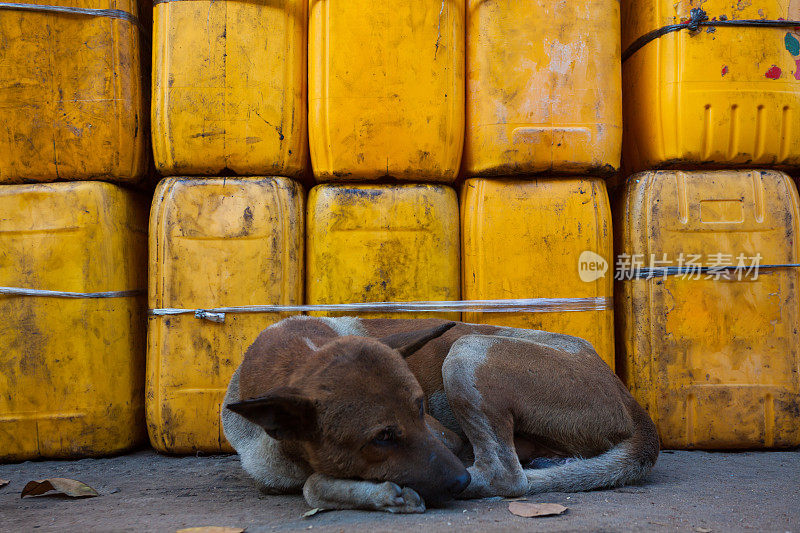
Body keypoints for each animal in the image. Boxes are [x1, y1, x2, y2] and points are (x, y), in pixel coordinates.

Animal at [222, 316, 660, 512]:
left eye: (420, 408)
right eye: (381, 437)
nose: (455, 479)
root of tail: (627, 398)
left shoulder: (442, 436)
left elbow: (313, 484)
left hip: (466, 352)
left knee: (505, 476)